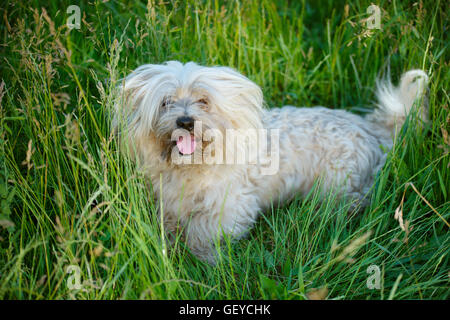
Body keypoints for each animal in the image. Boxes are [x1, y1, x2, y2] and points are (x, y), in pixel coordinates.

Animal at [112, 61, 428, 264]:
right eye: (166, 102)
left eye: (204, 101)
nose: (185, 122)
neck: (195, 165)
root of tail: (373, 129)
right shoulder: (169, 205)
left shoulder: (227, 209)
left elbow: (204, 238)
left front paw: (207, 263)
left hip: (339, 187)